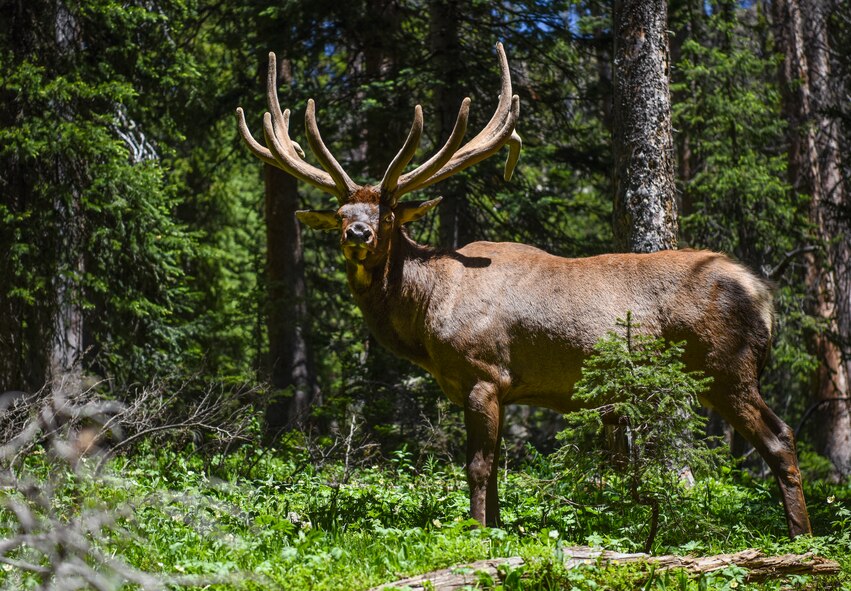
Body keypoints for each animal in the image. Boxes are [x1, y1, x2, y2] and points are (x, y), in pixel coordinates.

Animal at [238, 44, 812, 540]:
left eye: (389, 212)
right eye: (340, 212)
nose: (357, 233)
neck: (426, 315)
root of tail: (764, 292)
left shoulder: (485, 372)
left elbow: (476, 466)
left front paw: (475, 532)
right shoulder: (494, 388)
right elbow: (495, 470)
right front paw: (495, 528)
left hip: (728, 367)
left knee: (780, 438)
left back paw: (801, 538)